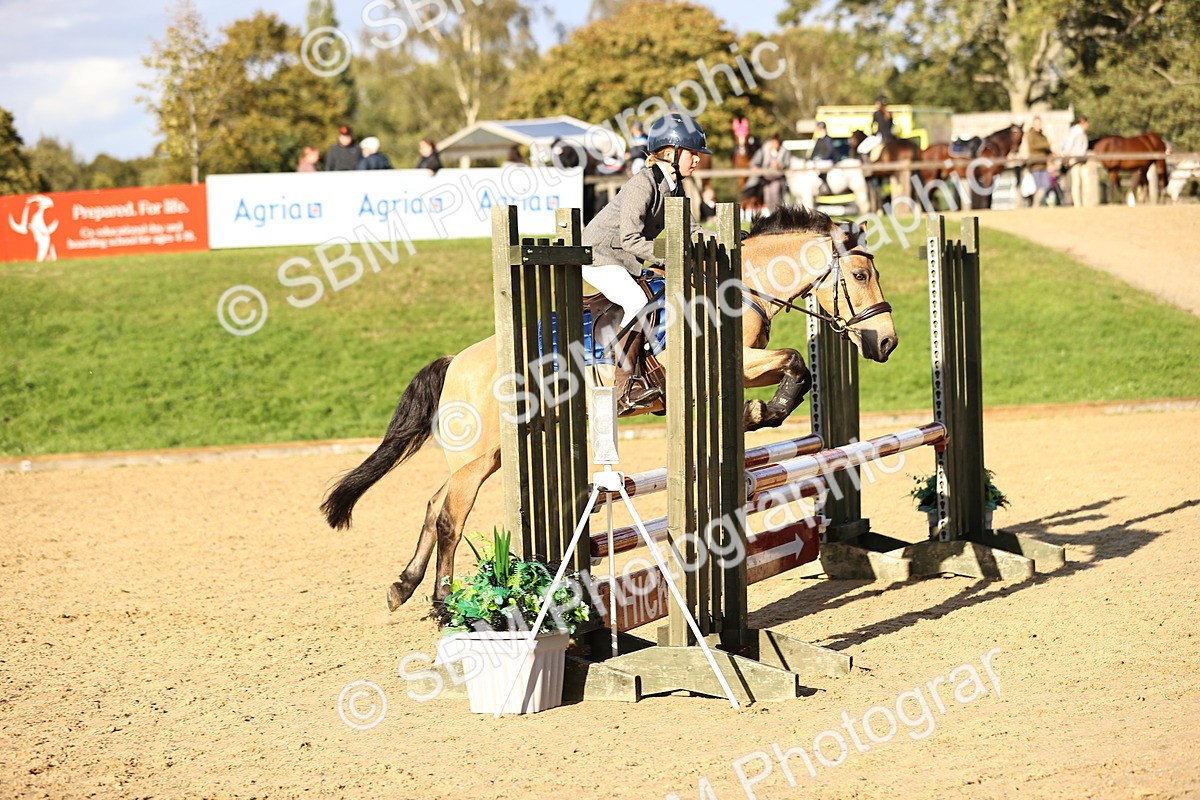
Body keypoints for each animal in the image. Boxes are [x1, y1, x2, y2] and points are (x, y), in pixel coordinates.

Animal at [321, 206, 899, 611]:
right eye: (861, 277)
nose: (887, 343)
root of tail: (456, 360)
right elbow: (795, 362)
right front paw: (768, 410)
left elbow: (794, 370)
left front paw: (760, 413)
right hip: (482, 455)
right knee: (449, 515)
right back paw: (442, 601)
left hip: (493, 455)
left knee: (433, 502)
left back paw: (404, 585)